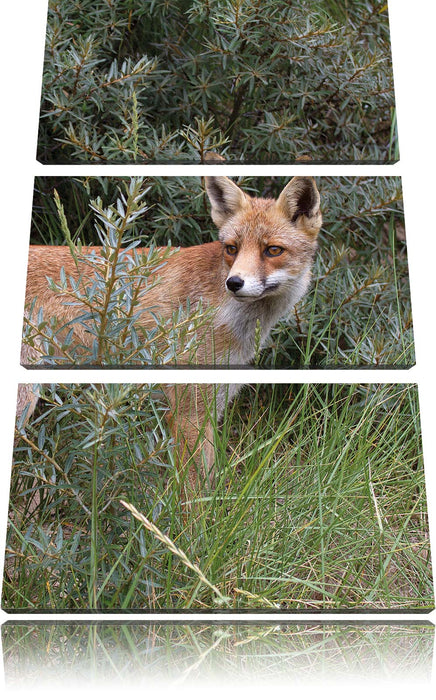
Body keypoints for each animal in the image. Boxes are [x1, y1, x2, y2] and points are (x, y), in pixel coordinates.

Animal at [18, 178, 322, 500]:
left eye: (273, 250)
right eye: (232, 248)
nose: (234, 283)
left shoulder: (211, 408)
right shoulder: (188, 411)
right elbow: (192, 496)